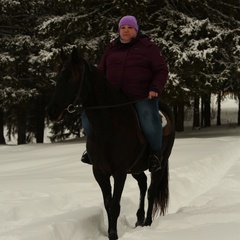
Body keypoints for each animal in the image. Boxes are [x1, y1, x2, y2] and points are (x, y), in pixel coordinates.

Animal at [46, 47, 174, 239]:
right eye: (57, 77)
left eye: (71, 77)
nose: (52, 111)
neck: (108, 127)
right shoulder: (99, 172)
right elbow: (108, 204)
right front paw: (110, 232)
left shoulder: (119, 172)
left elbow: (115, 205)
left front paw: (113, 235)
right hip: (135, 168)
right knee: (143, 184)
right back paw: (139, 219)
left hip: (160, 163)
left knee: (151, 190)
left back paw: (148, 222)